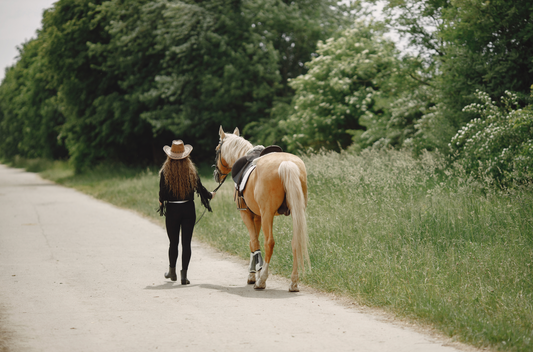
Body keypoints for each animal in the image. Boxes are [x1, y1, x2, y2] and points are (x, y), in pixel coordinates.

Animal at [214, 126, 310, 292]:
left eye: (216, 150)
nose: (216, 175)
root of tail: (286, 163)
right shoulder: (257, 215)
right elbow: (255, 243)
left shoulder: (247, 214)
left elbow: (254, 242)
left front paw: (254, 275)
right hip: (296, 212)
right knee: (295, 241)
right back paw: (293, 282)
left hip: (268, 214)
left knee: (269, 243)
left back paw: (262, 280)